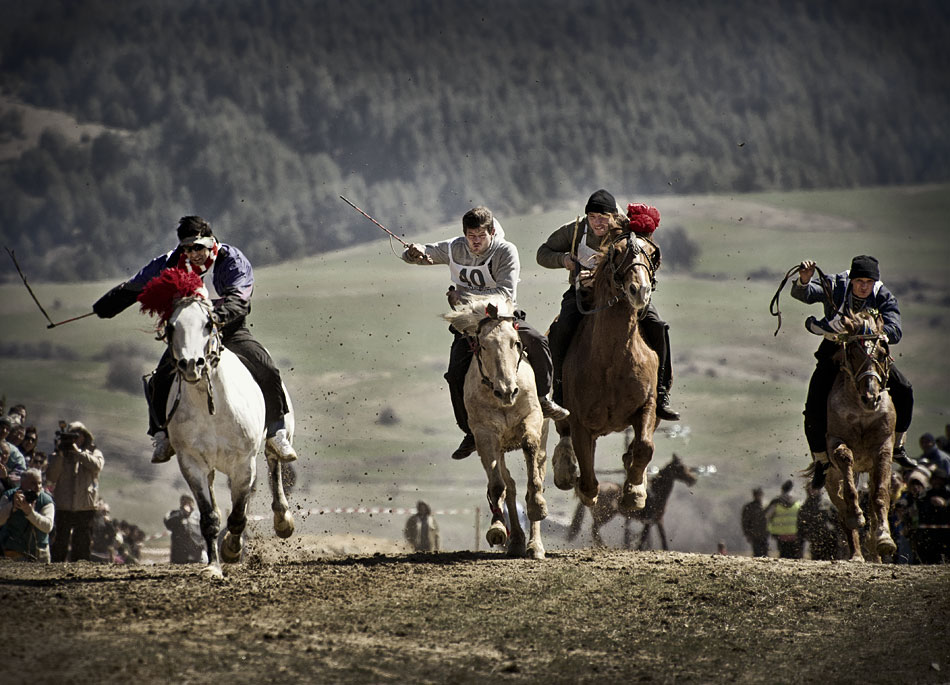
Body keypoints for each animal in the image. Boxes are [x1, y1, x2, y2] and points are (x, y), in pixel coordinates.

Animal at [446, 296, 552, 560]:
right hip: (498, 446)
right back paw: (515, 540)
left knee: (536, 471)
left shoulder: (532, 419)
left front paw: (537, 506)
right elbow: (497, 485)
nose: (507, 391)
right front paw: (497, 530)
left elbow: (530, 453)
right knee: (508, 485)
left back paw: (535, 546)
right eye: (482, 346)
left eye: (516, 343)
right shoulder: (486, 436)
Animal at [564, 454, 700, 552]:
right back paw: (603, 546)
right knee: (594, 529)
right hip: (605, 515)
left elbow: (659, 539)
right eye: (680, 467)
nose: (693, 479)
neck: (656, 494)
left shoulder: (656, 520)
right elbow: (646, 539)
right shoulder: (651, 520)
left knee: (594, 530)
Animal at [824, 310, 900, 560]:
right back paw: (856, 554)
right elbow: (846, 463)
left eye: (882, 353)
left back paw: (876, 550)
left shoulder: (883, 448)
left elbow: (880, 495)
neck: (860, 410)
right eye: (854, 353)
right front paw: (856, 515)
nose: (871, 397)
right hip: (830, 479)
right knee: (843, 512)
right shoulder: (834, 443)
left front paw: (885, 539)